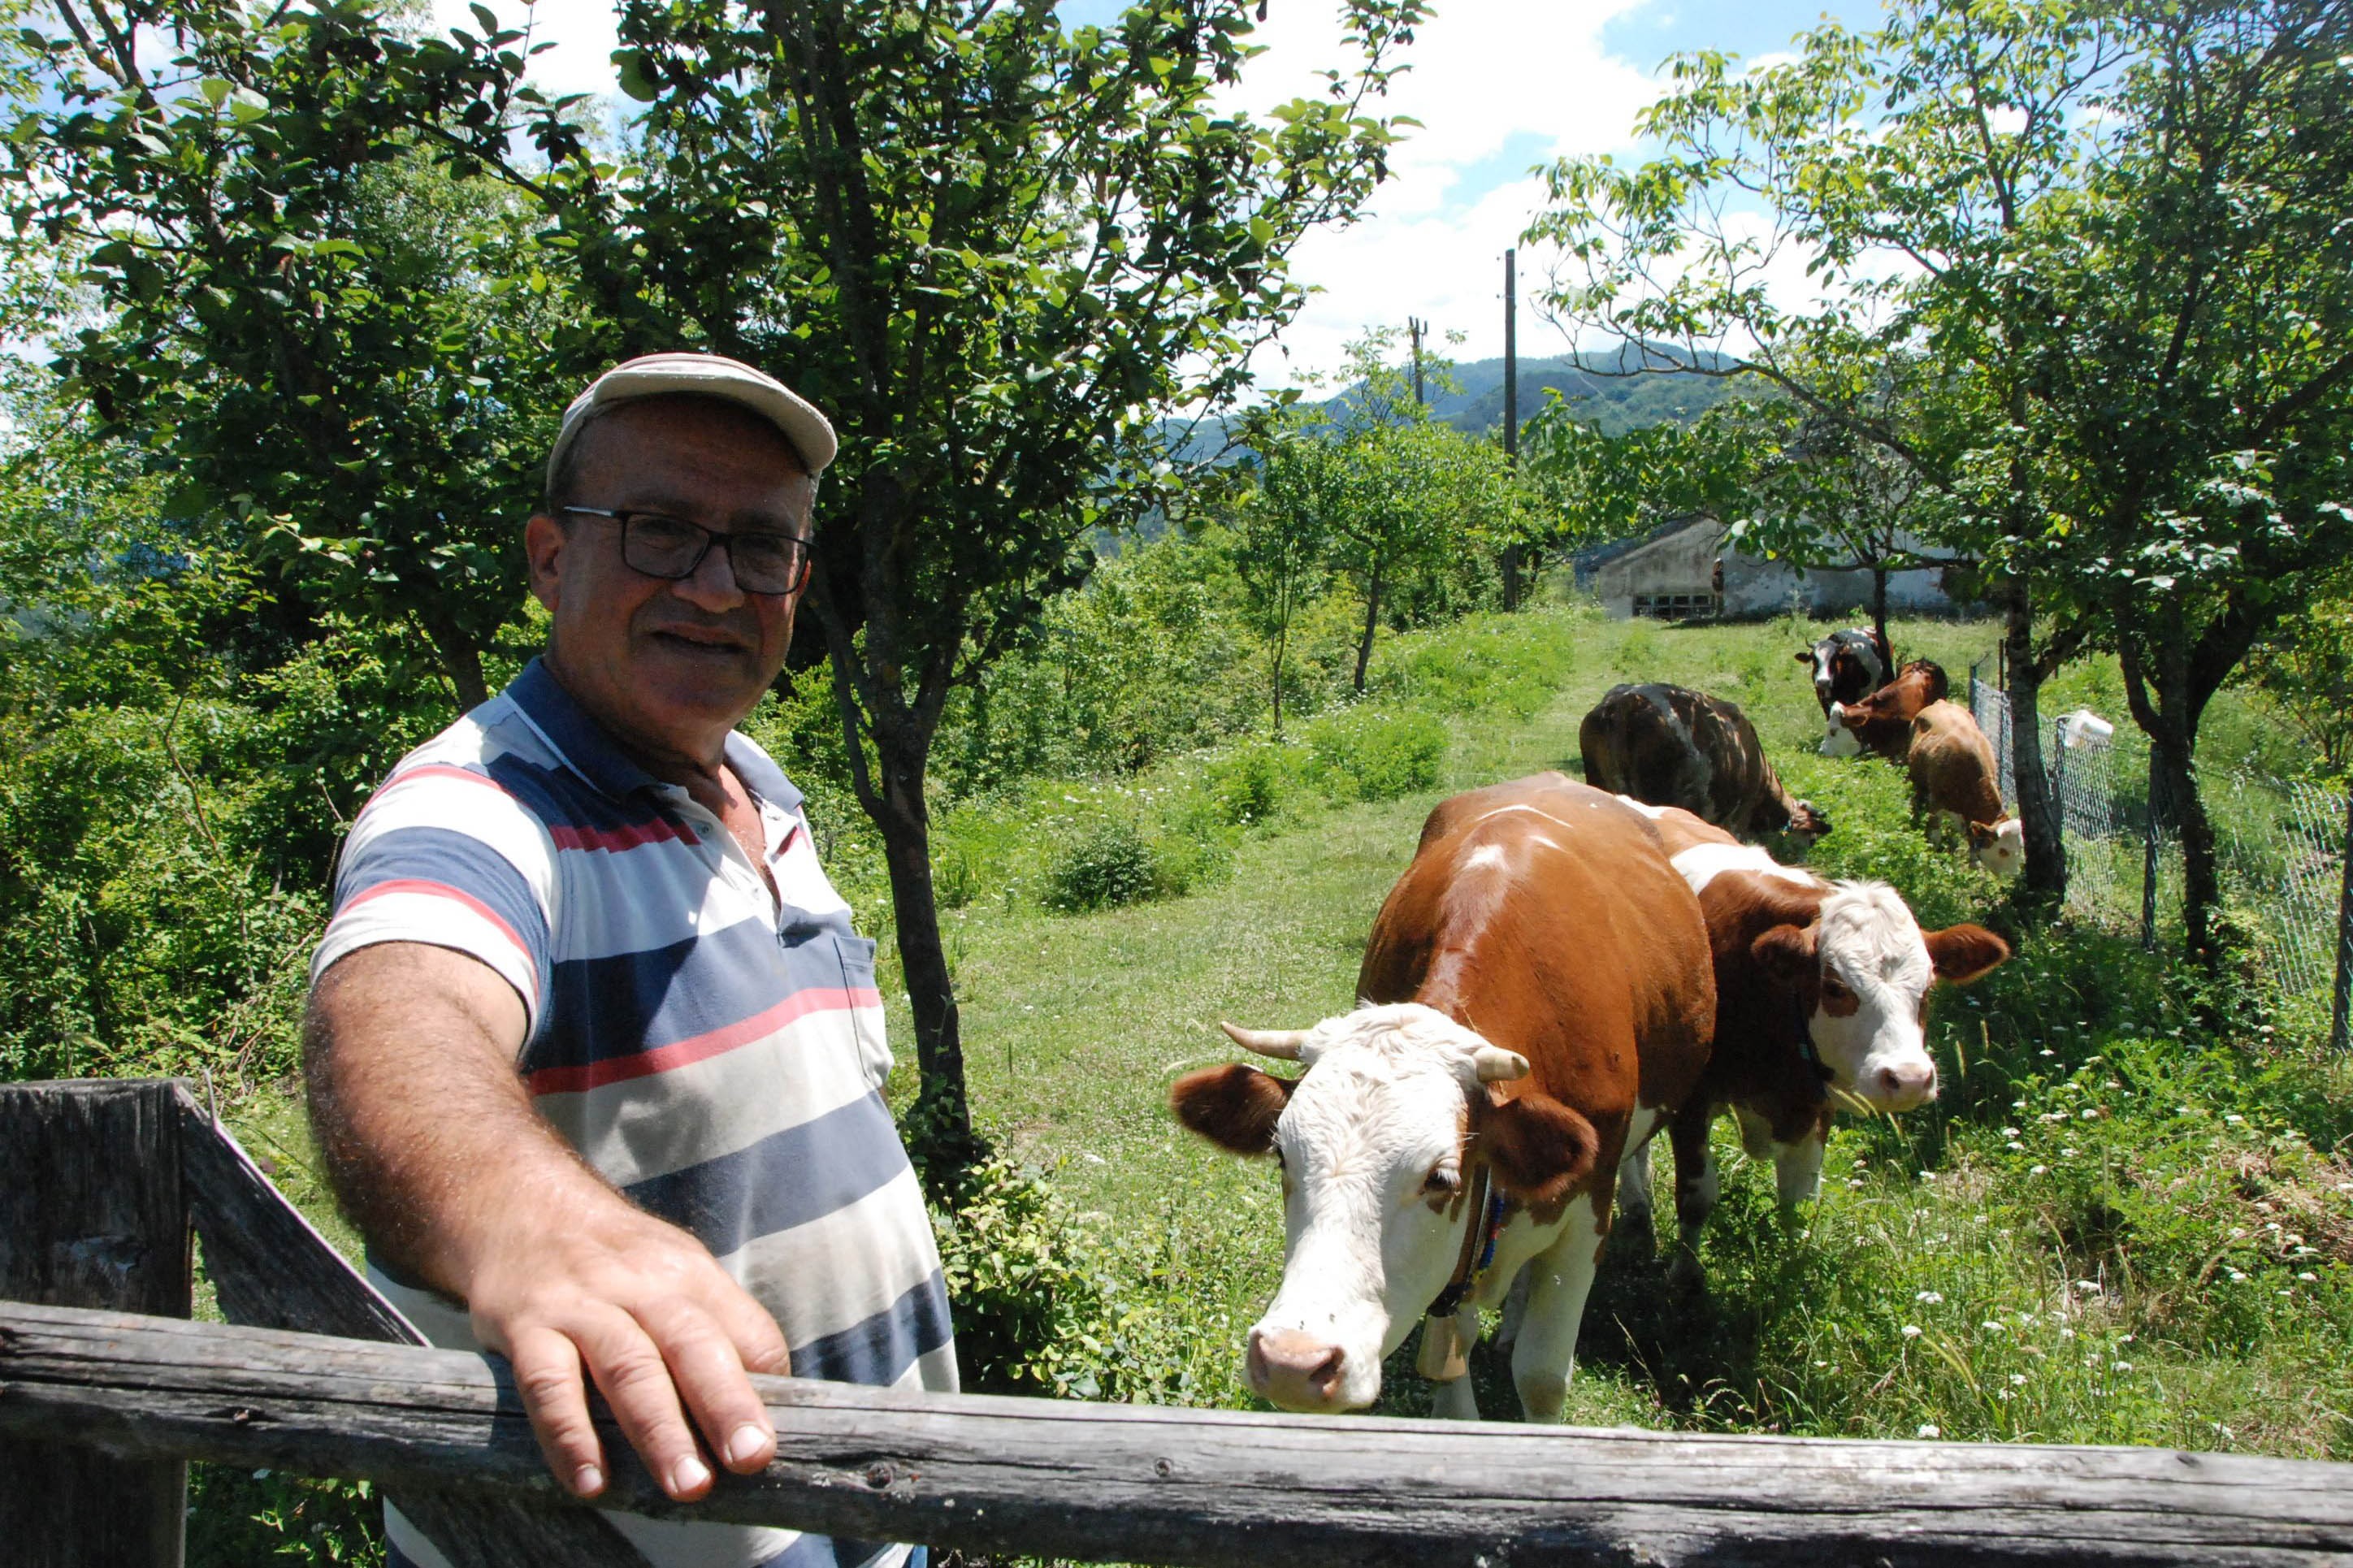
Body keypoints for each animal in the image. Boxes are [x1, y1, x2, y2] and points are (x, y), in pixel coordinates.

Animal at [1172, 767, 1713, 1412]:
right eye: (1282, 1157)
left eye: (1440, 1178)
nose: (1291, 1363)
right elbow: (1451, 1358)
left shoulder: (1585, 1216)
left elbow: (1542, 1375)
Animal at [1609, 800, 2013, 1262]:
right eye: (1835, 988)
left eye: (1928, 989)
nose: (1909, 1079)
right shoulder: (1693, 1102)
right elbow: (1696, 1199)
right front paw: (1686, 1271)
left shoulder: (1817, 1104)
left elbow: (1798, 1205)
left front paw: (1793, 1270)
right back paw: (1637, 1211)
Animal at [1900, 696, 2033, 871]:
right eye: (2003, 851)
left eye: (2021, 849)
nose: (2013, 874)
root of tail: (1941, 703)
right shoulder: (1936, 802)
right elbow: (1935, 835)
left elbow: (1971, 837)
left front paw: (1974, 866)